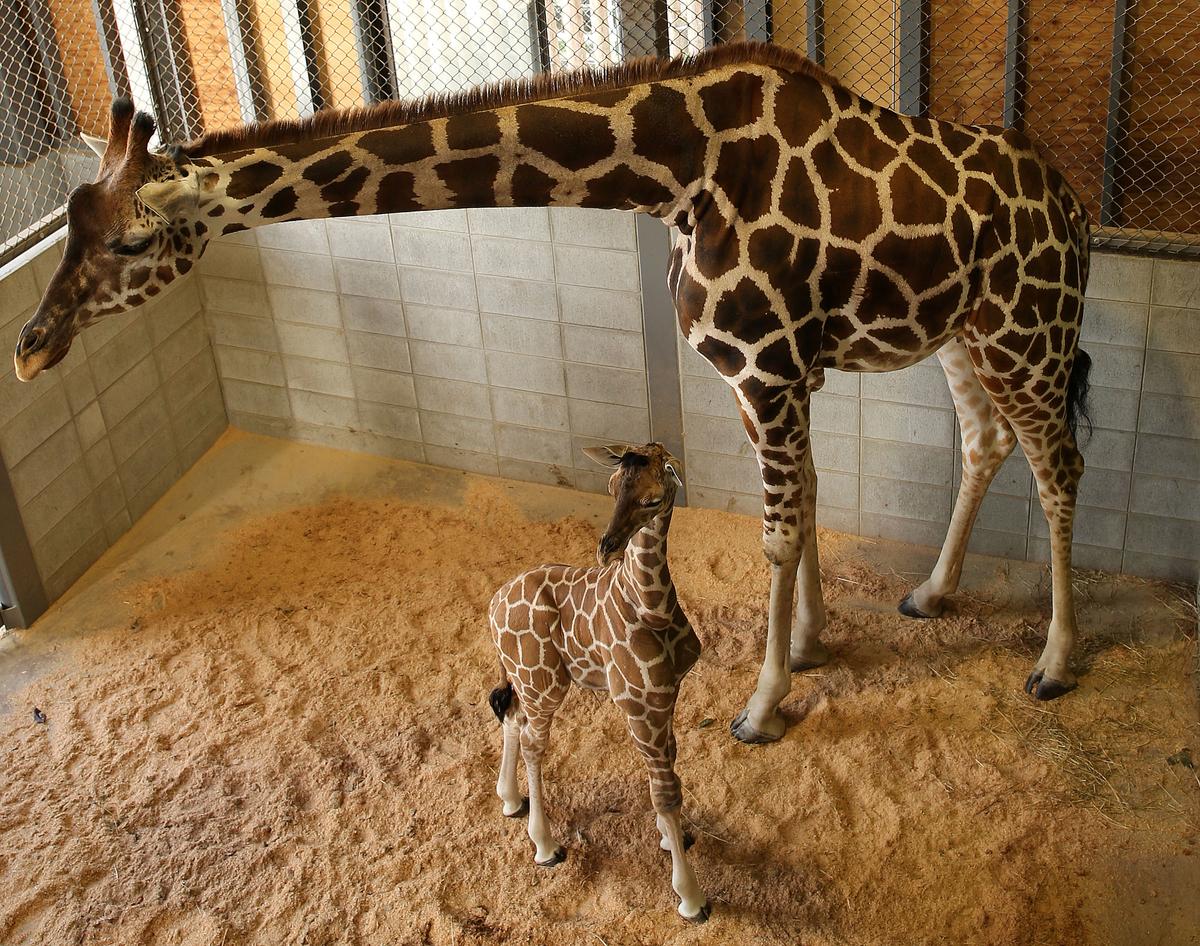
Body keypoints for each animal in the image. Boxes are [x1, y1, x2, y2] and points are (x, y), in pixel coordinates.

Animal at [14, 42, 1093, 745]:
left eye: (133, 240)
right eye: (67, 220)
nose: (30, 348)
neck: (675, 173)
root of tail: (1077, 209)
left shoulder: (765, 363)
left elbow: (780, 532)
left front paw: (761, 705)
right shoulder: (775, 370)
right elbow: (810, 505)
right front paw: (814, 643)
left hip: (1030, 332)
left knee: (1060, 467)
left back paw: (1052, 663)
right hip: (967, 336)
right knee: (988, 443)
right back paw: (932, 591)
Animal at [488, 441, 707, 922]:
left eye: (652, 498)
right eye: (610, 487)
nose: (607, 549)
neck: (651, 606)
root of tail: (492, 608)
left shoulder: (667, 696)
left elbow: (670, 773)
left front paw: (671, 838)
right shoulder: (636, 703)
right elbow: (665, 792)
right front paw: (691, 898)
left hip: (526, 680)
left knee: (511, 716)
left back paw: (510, 801)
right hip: (544, 681)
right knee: (533, 742)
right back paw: (546, 846)